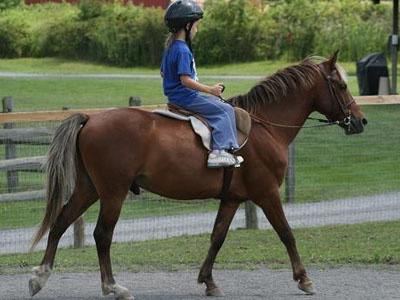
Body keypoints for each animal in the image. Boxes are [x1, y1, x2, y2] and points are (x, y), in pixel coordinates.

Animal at [28, 52, 366, 300]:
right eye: (342, 86)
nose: (361, 121)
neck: (265, 127)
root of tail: (90, 119)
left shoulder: (232, 199)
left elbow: (217, 237)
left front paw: (208, 281)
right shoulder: (267, 193)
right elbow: (286, 233)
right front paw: (304, 279)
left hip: (89, 189)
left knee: (60, 222)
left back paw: (40, 276)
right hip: (113, 193)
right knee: (102, 235)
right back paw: (113, 287)